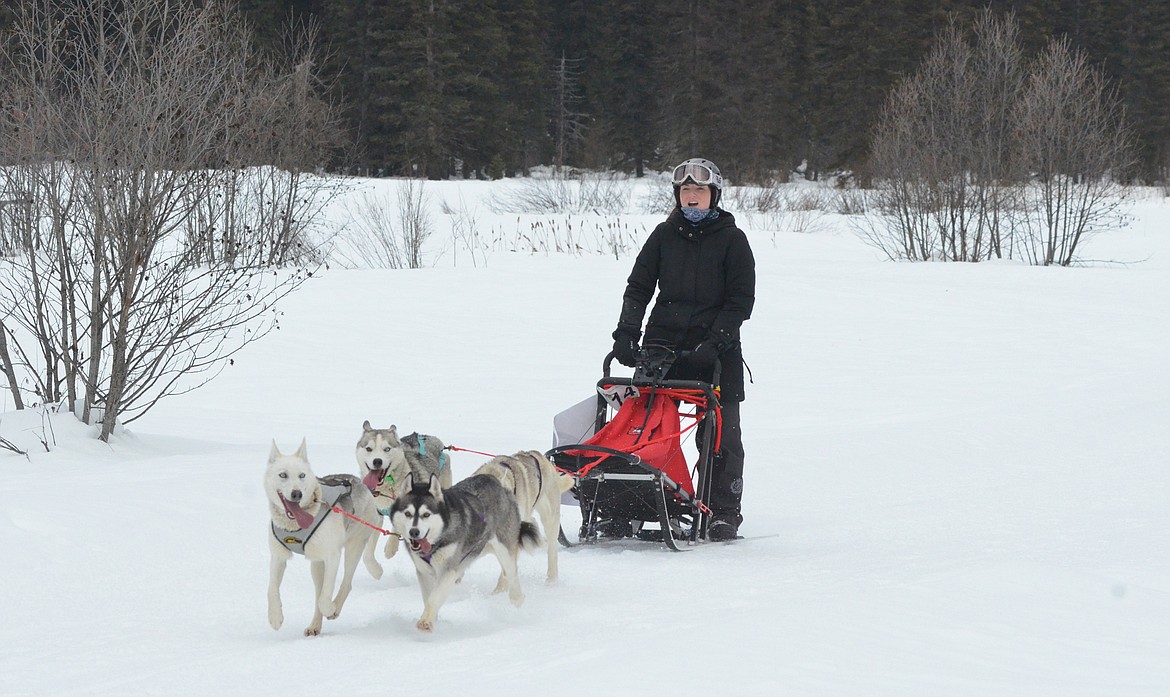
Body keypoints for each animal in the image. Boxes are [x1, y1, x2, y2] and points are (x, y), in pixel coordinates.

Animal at [266, 442, 383, 636]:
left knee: (345, 584)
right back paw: (315, 625)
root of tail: (359, 482)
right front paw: (275, 617)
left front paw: (329, 608)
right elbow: (272, 589)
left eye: (302, 475)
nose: (297, 494)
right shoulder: (278, 556)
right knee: (319, 592)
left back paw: (334, 607)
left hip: (353, 546)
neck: (296, 526)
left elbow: (324, 596)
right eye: (283, 475)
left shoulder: (332, 556)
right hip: (316, 563)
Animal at [353, 421, 453, 559]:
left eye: (387, 449)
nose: (377, 461)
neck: (387, 487)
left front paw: (391, 547)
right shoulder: (377, 514)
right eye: (369, 449)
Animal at [390, 474, 540, 631]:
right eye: (407, 513)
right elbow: (428, 596)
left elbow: (435, 597)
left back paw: (517, 600)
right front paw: (432, 618)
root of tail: (496, 482)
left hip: (504, 547)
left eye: (426, 514)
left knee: (511, 572)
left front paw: (426, 621)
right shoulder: (424, 572)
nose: (414, 532)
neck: (436, 542)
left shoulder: (449, 569)